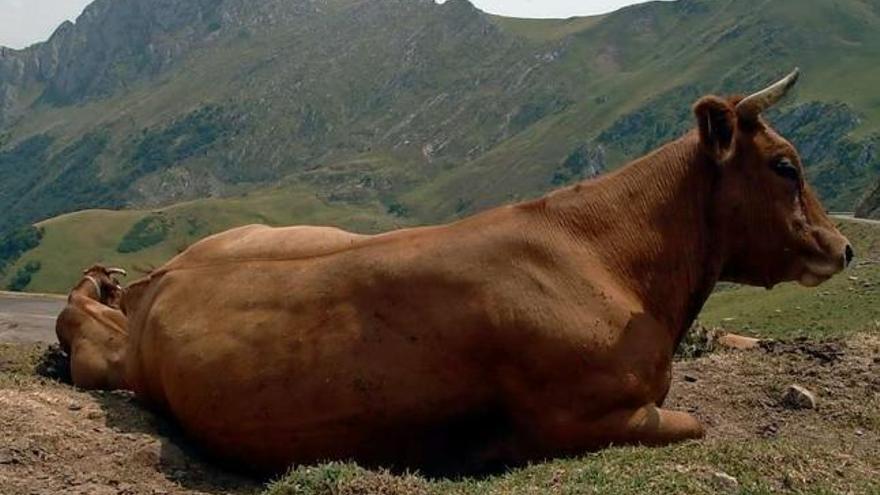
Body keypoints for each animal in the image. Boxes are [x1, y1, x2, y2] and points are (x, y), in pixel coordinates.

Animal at [122, 70, 852, 476]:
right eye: (785, 165)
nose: (845, 247)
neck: (617, 267)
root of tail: (164, 274)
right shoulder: (586, 415)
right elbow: (697, 423)